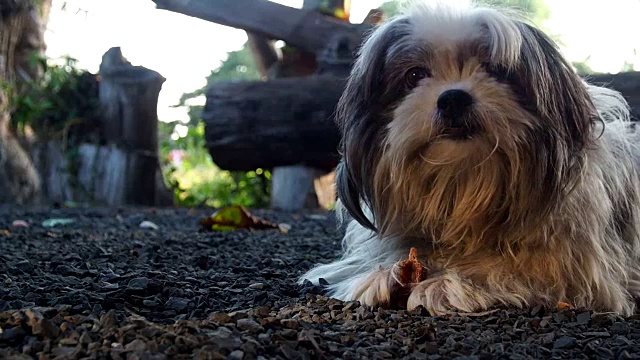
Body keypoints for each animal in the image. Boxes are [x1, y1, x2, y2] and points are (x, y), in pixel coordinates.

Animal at [298, 0, 640, 316]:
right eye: (414, 74)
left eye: (495, 69)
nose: (453, 98)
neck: (464, 190)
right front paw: (379, 274)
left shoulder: (578, 272)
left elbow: (514, 268)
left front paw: (452, 282)